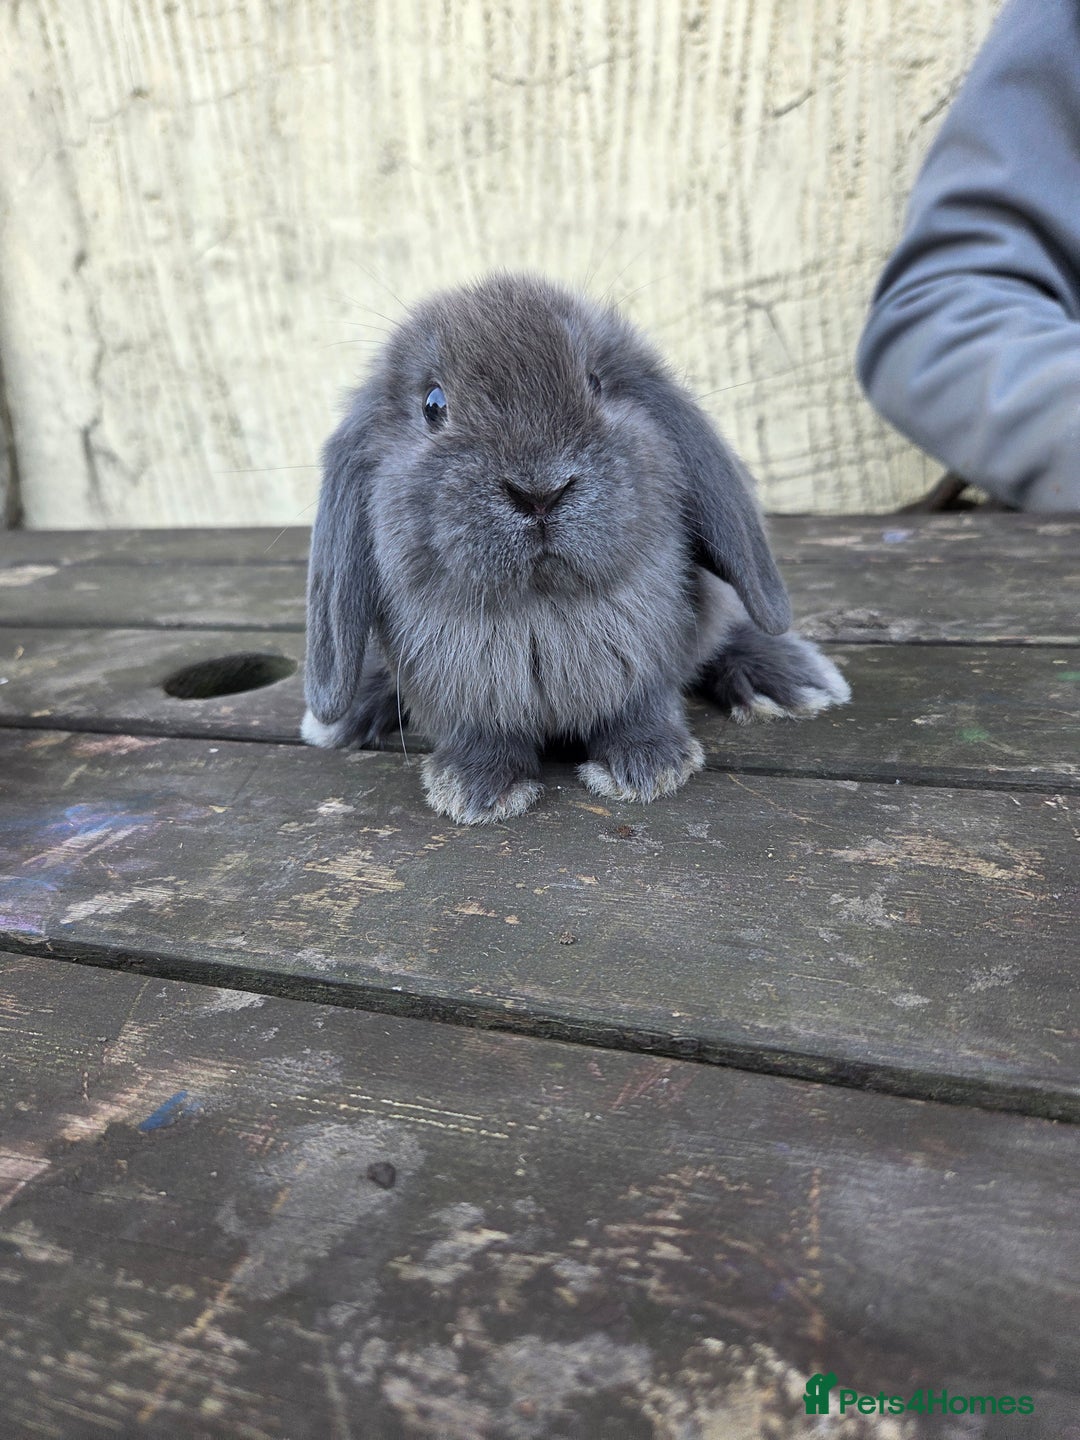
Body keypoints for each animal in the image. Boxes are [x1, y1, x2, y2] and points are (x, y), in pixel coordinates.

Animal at [302, 272, 850, 823]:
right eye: (433, 405)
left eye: (596, 383)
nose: (539, 492)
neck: (543, 608)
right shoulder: (460, 697)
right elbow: (478, 735)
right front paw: (476, 787)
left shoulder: (647, 670)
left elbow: (642, 711)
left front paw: (648, 768)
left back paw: (785, 680)